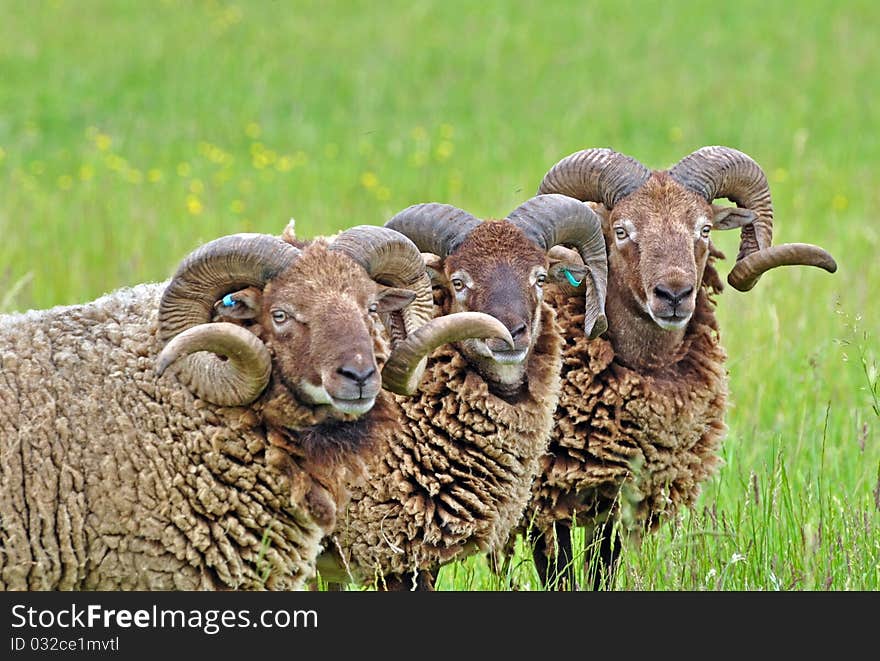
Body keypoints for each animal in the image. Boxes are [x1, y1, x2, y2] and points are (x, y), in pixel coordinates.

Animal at [508, 147, 840, 592]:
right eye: (621, 231)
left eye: (704, 229)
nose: (674, 294)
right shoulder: (541, 493)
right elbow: (558, 572)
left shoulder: (621, 492)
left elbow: (602, 566)